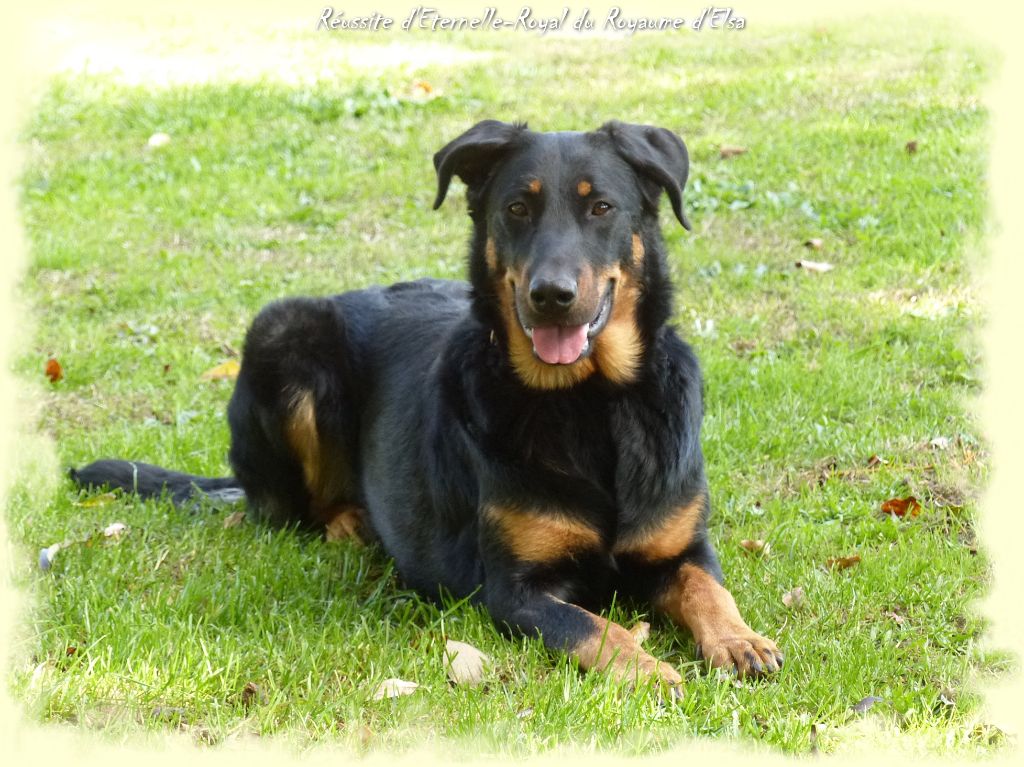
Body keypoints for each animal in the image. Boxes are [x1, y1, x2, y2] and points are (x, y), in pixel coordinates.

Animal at [73, 120, 783, 692]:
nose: (551, 295)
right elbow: (594, 628)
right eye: (517, 208)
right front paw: (648, 669)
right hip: (283, 331)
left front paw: (738, 639)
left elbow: (708, 588)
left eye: (601, 207)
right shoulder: (516, 592)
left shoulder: (680, 549)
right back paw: (352, 523)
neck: (592, 404)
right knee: (295, 512)